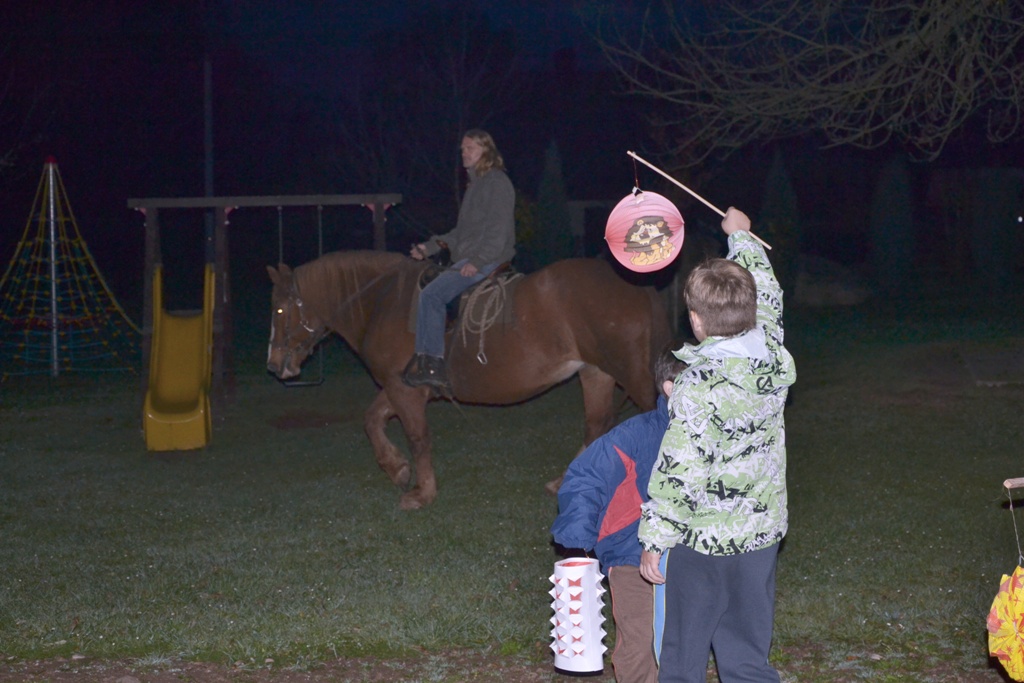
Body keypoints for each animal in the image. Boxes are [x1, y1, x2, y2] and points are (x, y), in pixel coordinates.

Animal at [267, 250, 672, 510]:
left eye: (281, 310)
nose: (273, 364)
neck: (383, 303)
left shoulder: (405, 393)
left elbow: (418, 439)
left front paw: (422, 492)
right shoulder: (403, 388)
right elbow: (372, 421)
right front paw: (396, 468)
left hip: (630, 374)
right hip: (596, 372)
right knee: (597, 424)